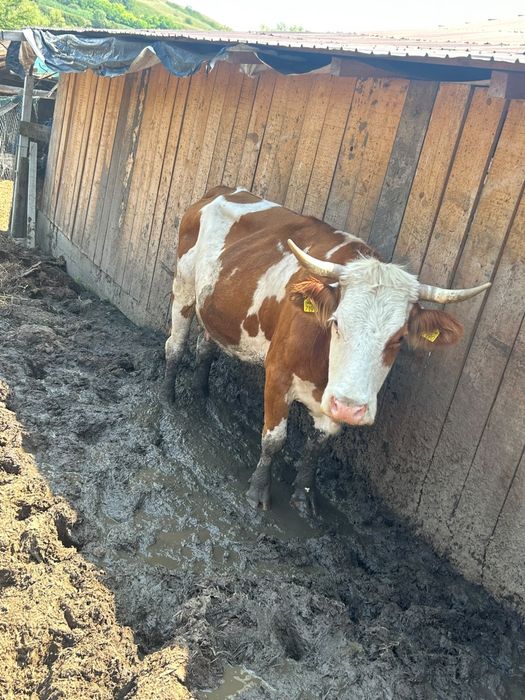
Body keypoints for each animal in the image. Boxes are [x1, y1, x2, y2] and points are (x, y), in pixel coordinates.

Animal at [164, 186, 490, 514]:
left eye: (399, 338)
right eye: (336, 322)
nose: (351, 407)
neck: (323, 370)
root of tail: (224, 190)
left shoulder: (332, 402)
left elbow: (316, 445)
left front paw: (303, 497)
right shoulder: (278, 373)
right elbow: (274, 438)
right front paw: (258, 491)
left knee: (205, 345)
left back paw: (203, 395)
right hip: (184, 287)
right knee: (174, 346)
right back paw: (168, 398)